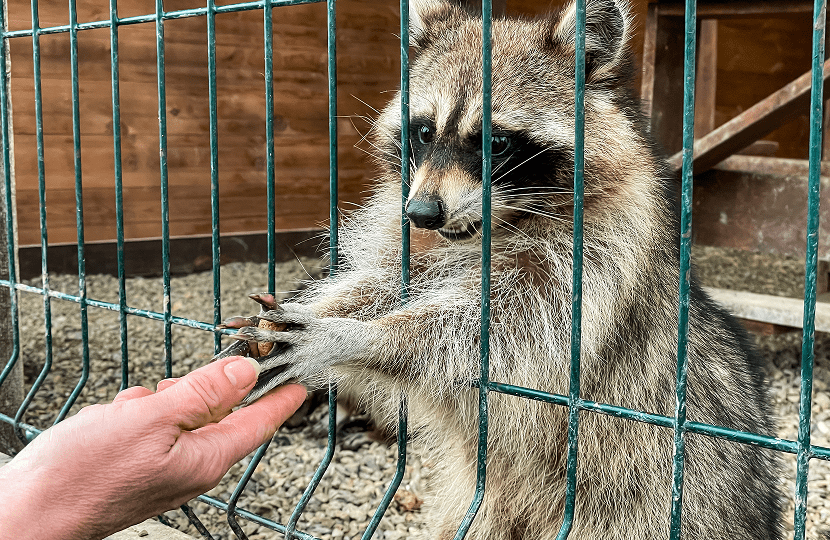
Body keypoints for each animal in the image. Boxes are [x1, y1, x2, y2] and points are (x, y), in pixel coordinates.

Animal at [218, 0, 785, 537]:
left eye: (495, 142)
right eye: (424, 131)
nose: (421, 212)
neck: (492, 228)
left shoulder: (592, 266)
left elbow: (493, 336)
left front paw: (360, 338)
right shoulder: (420, 243)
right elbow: (384, 281)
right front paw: (320, 310)